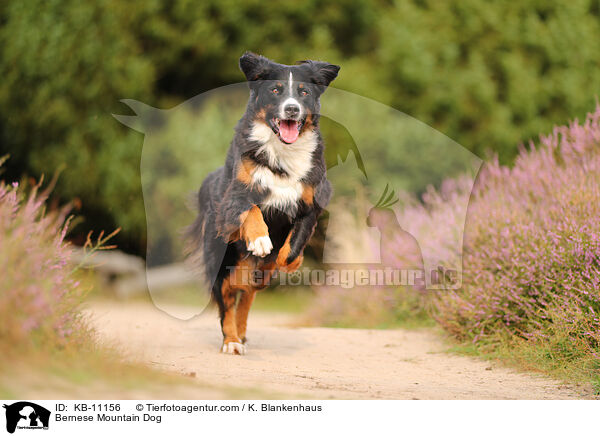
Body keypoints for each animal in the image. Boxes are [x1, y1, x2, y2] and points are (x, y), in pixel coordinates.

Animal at [189, 52, 338, 354]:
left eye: (304, 92)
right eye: (276, 90)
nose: (292, 109)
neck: (282, 152)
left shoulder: (310, 204)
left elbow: (290, 249)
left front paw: (289, 261)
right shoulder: (235, 198)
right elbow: (253, 210)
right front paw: (259, 240)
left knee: (247, 293)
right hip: (220, 257)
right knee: (228, 298)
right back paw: (232, 341)